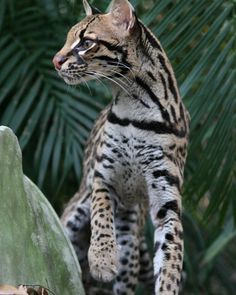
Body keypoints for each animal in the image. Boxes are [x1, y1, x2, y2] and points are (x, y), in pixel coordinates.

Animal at [53, 1, 190, 294]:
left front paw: (167, 285)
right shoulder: (103, 176)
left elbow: (171, 256)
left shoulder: (167, 199)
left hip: (130, 238)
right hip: (72, 215)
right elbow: (101, 215)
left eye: (86, 43)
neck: (135, 104)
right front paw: (102, 259)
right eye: (68, 38)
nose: (55, 60)